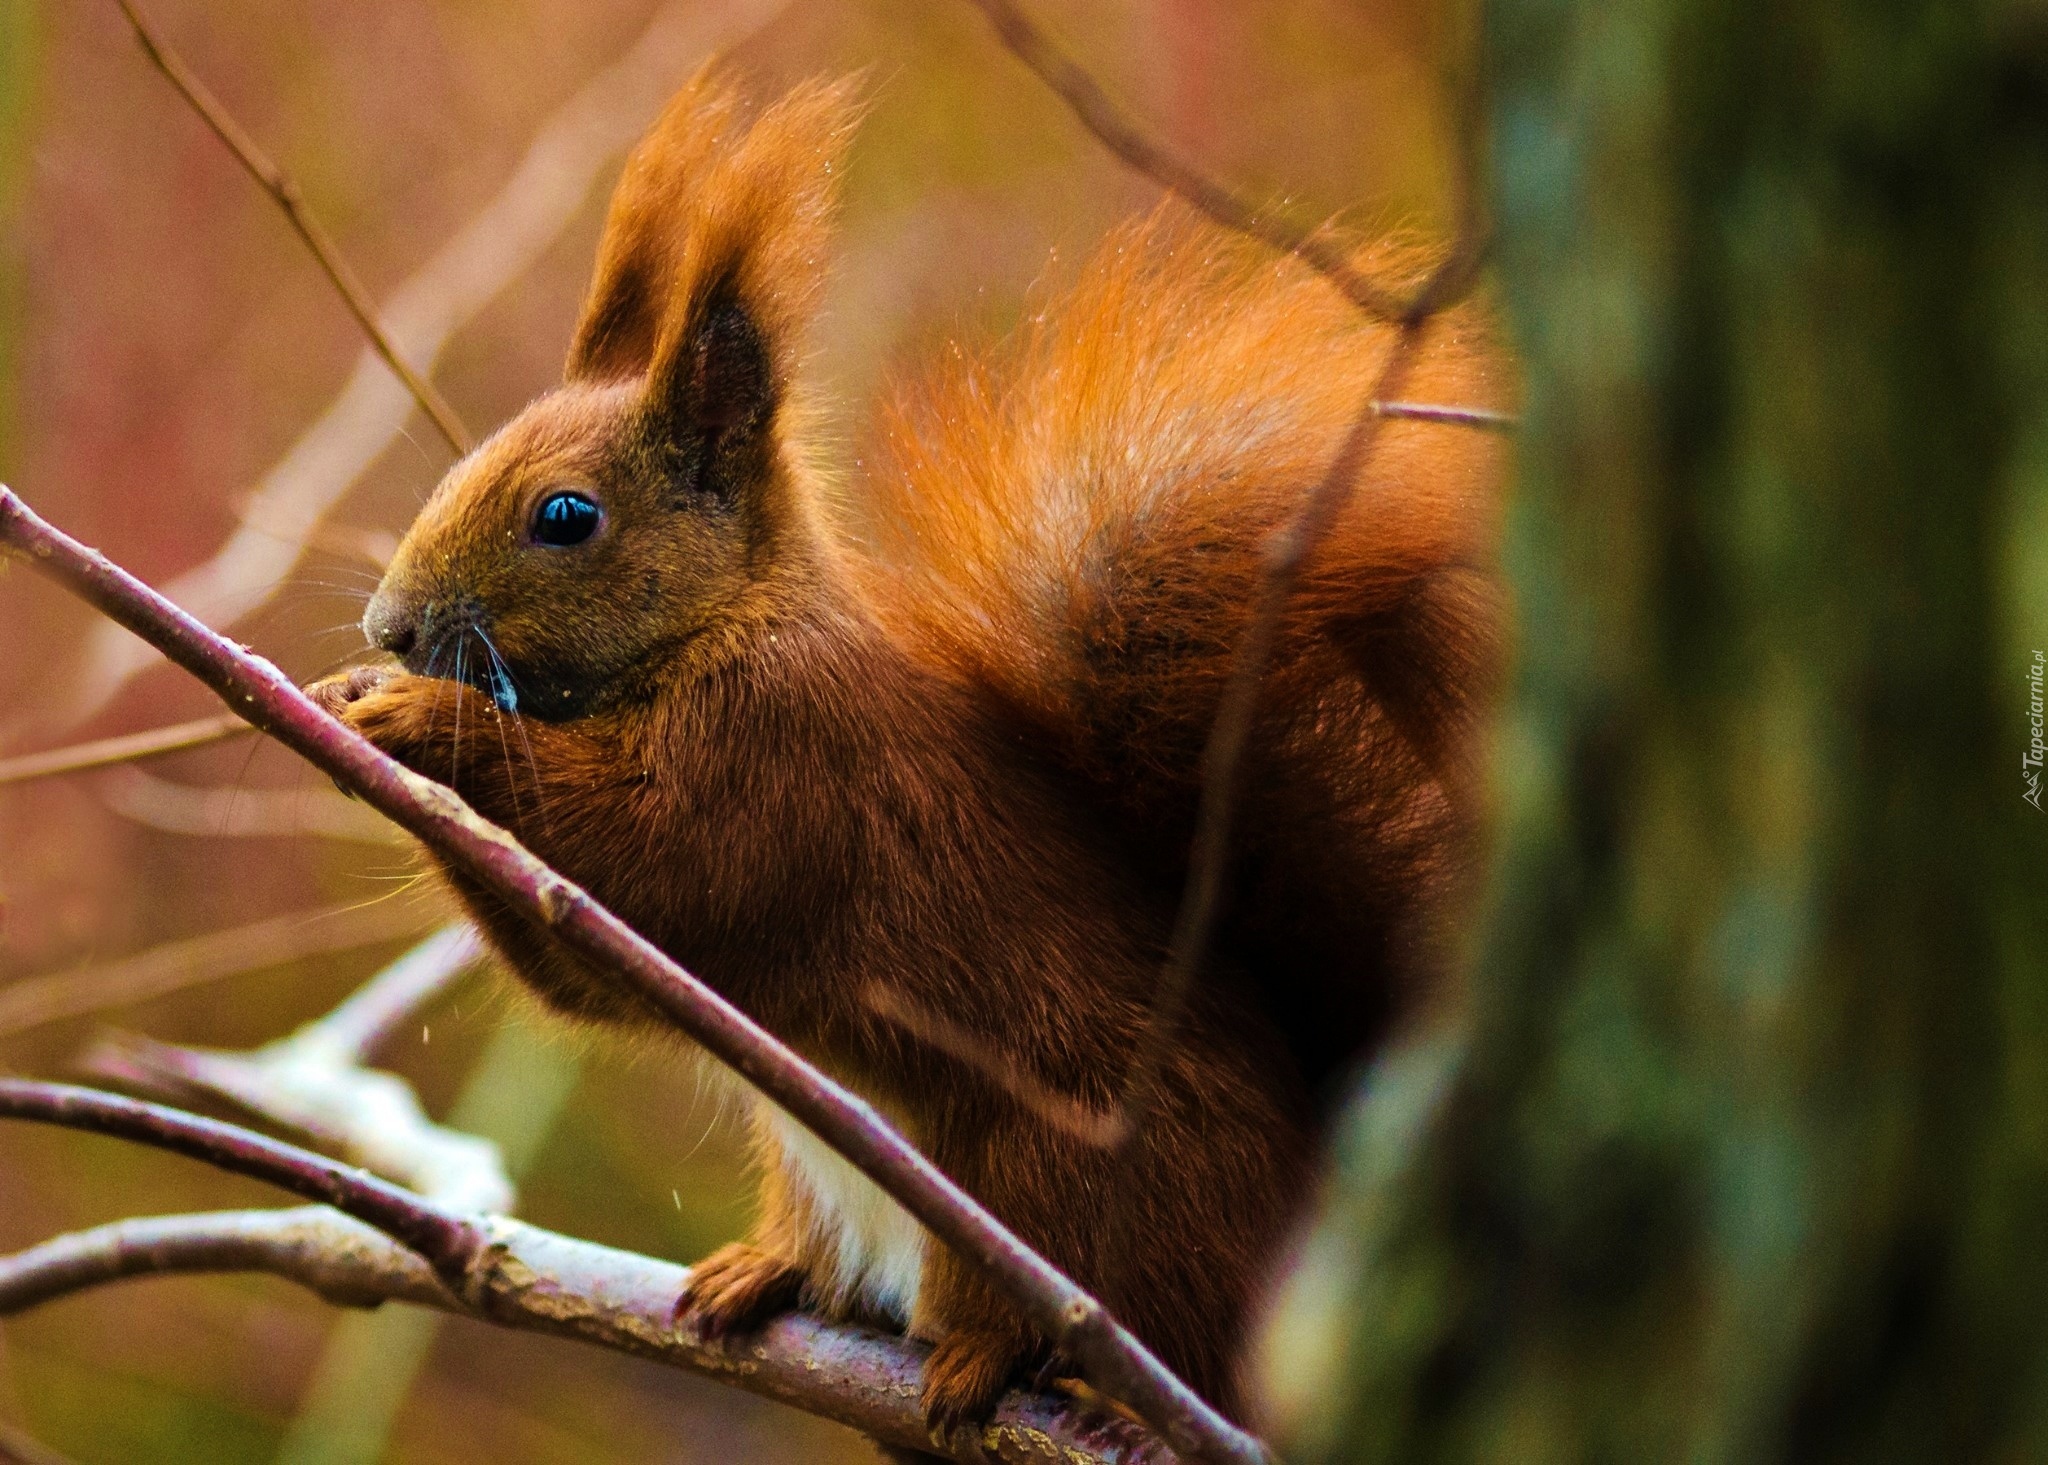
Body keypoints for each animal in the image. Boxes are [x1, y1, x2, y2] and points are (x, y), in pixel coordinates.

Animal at [311, 71, 1515, 1434]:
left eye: (566, 516)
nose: (391, 627)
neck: (732, 620)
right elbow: (589, 974)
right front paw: (351, 698)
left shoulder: (789, 756)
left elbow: (653, 863)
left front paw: (418, 719)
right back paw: (766, 1274)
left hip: (1068, 1182)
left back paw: (1039, 1371)